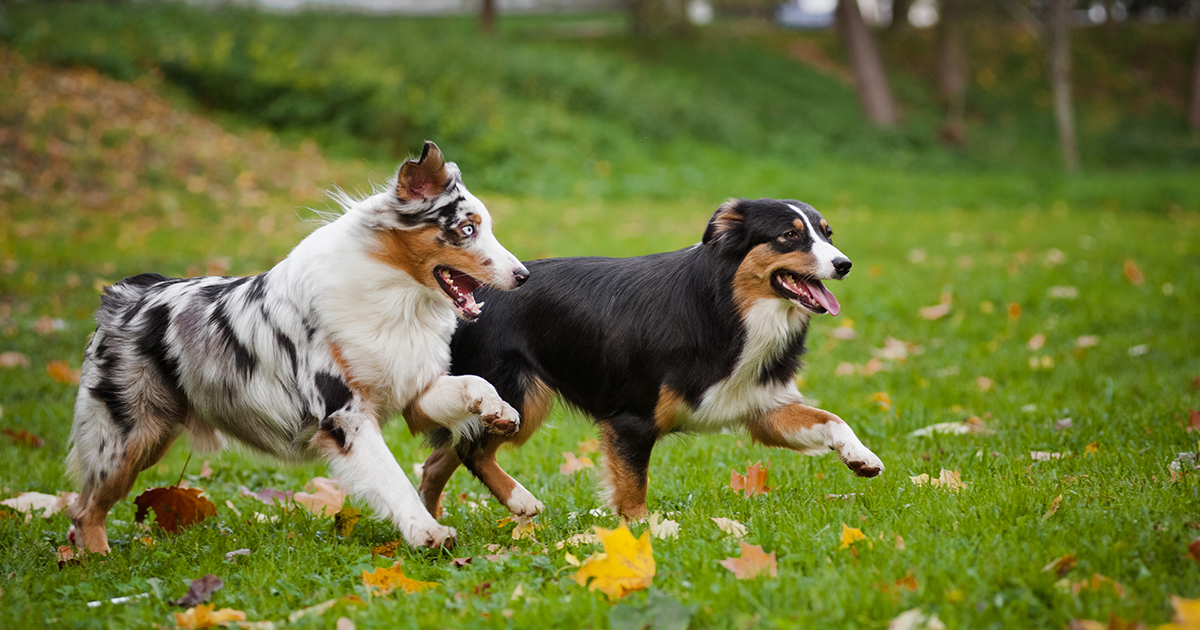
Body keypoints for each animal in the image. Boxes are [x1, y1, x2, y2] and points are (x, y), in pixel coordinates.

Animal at [420, 199, 883, 518]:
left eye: (827, 233)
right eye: (789, 236)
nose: (844, 264)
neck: (727, 307)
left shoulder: (760, 406)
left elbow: (831, 419)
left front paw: (861, 456)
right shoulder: (631, 420)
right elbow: (632, 491)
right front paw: (646, 535)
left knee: (439, 458)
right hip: (515, 397)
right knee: (472, 452)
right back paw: (520, 501)